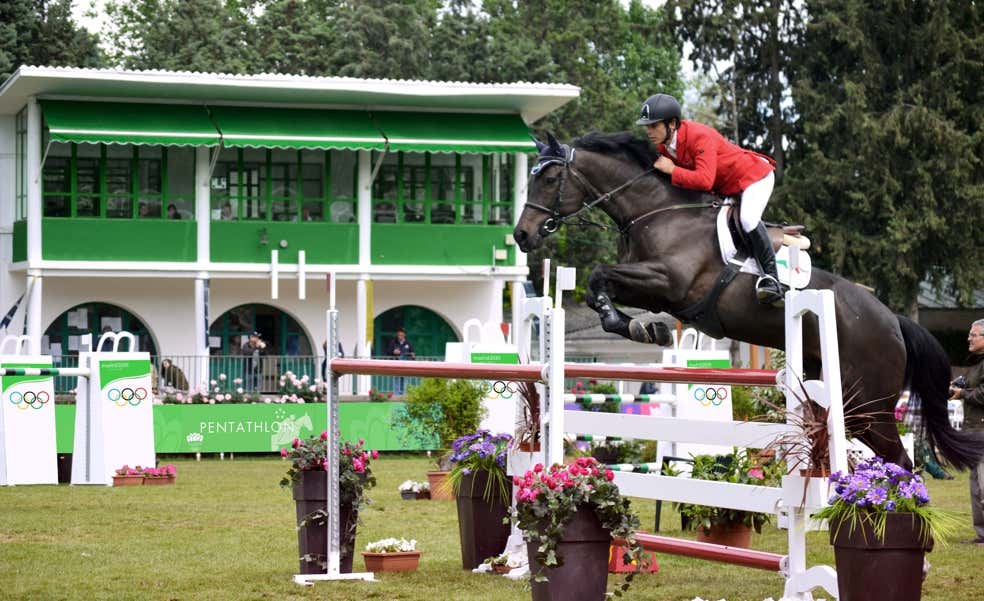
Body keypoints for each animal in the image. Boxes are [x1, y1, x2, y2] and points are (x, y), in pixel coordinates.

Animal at [516, 132, 984, 474]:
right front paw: (644, 327)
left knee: (901, 460)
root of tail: (893, 321)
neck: (657, 212)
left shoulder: (669, 281)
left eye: (549, 179)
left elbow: (600, 275)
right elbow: (602, 283)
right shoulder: (648, 286)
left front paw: (639, 326)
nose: (522, 235)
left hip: (867, 407)